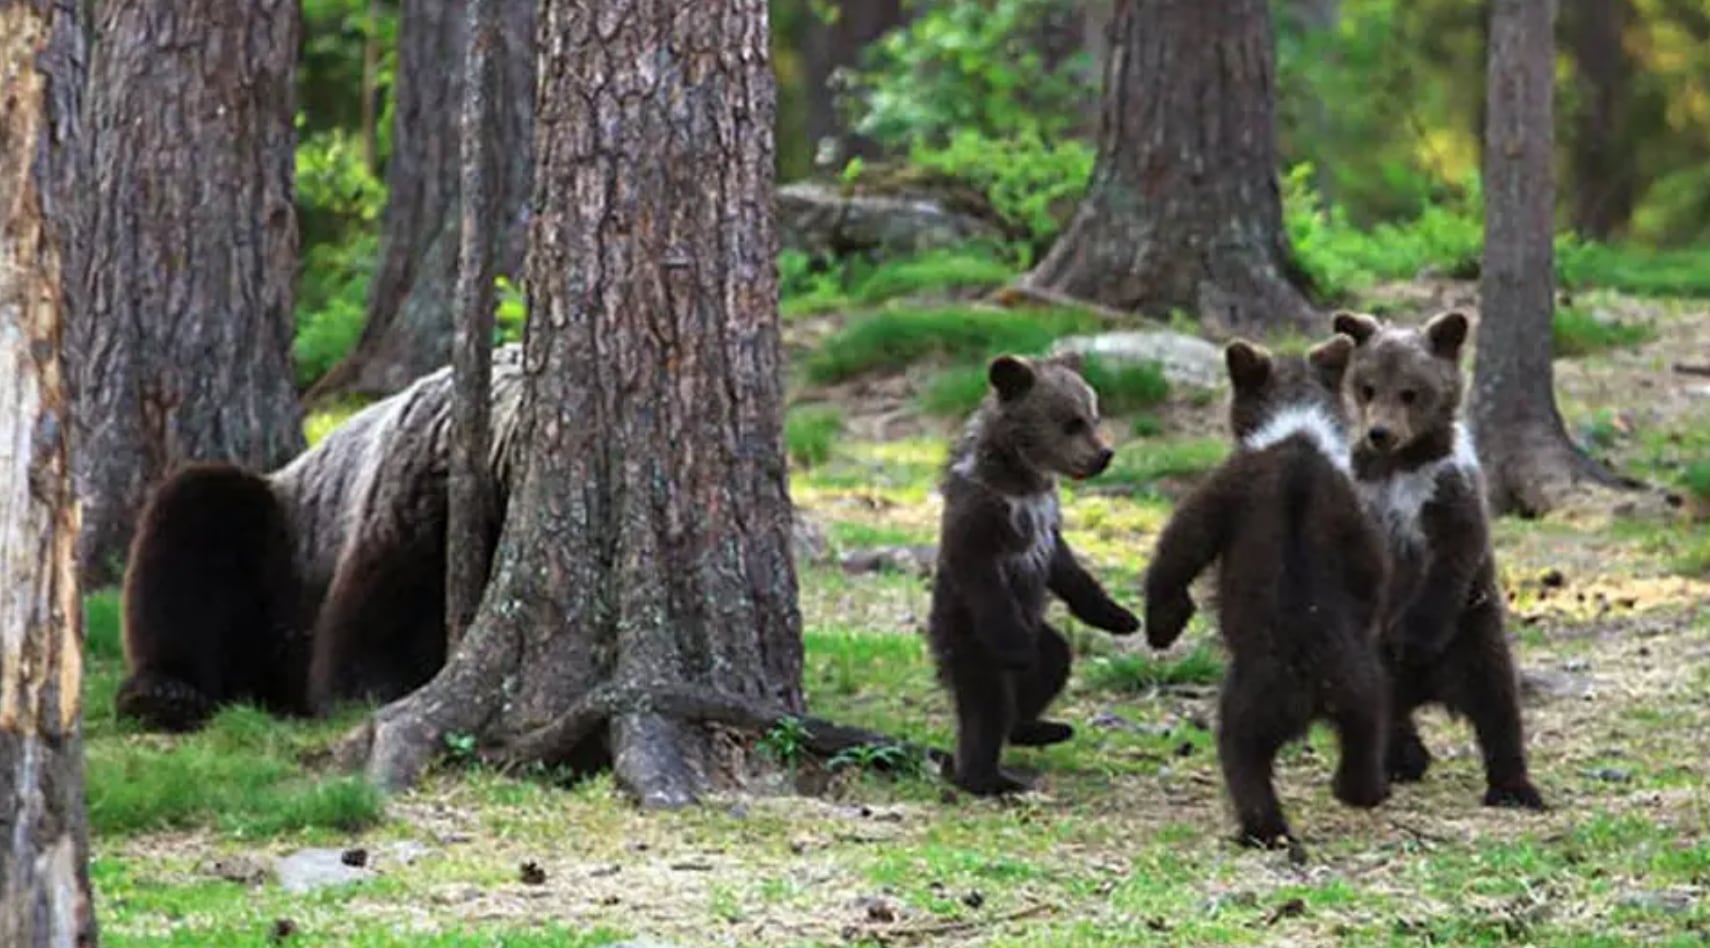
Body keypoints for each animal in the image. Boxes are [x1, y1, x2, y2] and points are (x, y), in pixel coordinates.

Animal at [115, 345, 528, 731]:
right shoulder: (422, 493)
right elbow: (385, 615)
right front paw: (368, 695)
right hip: (282, 543)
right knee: (195, 524)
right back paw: (164, 693)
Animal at [928, 351, 1141, 796]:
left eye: (1094, 415)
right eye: (1071, 422)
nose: (1105, 454)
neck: (1022, 479)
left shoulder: (1046, 520)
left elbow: (1069, 570)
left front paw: (1121, 617)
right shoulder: (982, 521)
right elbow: (982, 575)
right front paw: (1015, 648)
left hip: (1039, 632)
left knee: (1052, 661)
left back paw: (1038, 727)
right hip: (969, 639)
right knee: (986, 704)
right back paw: (989, 777)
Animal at [1143, 335, 1393, 848]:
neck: (1295, 432)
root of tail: (1310, 684)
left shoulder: (1226, 488)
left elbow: (1180, 543)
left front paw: (1162, 622)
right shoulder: (1355, 515)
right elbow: (1373, 569)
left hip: (1250, 696)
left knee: (1242, 756)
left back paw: (1261, 827)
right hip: (1362, 682)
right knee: (1367, 729)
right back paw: (1361, 789)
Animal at [1331, 309, 1546, 810]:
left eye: (1410, 391)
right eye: (1367, 387)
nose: (1380, 433)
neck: (1402, 465)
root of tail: (1429, 690)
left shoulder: (1448, 492)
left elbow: (1450, 558)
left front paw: (1413, 636)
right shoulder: (1365, 496)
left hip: (1473, 634)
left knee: (1497, 703)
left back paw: (1514, 786)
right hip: (1375, 663)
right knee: (1382, 711)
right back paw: (1401, 760)